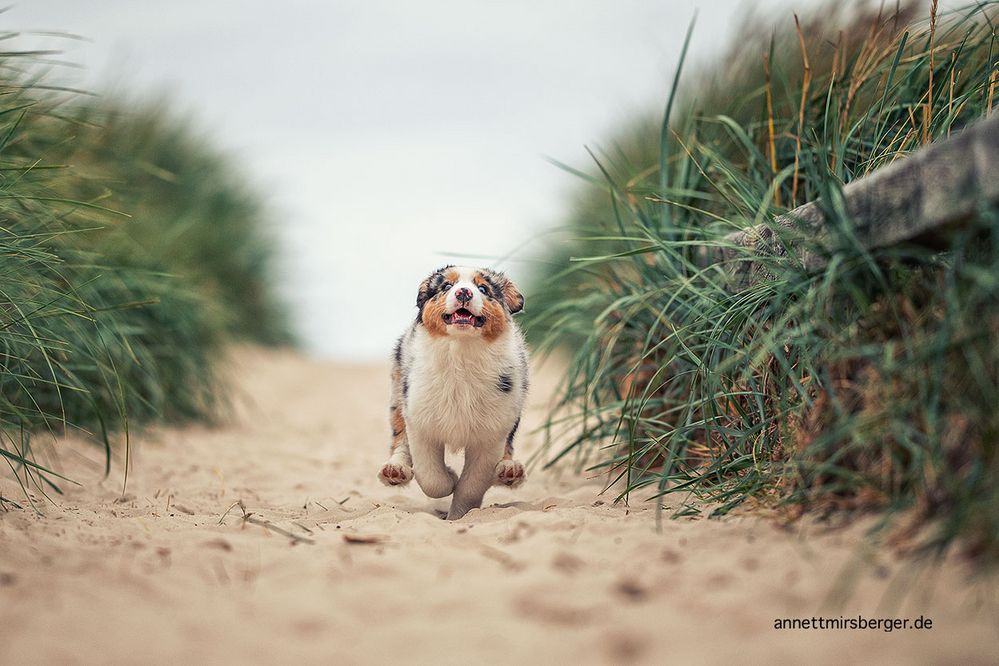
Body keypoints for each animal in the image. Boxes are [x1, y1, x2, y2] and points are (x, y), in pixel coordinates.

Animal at [376, 264, 532, 520]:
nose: (464, 292)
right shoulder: (421, 423)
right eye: (447, 286)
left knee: (508, 448)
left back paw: (508, 471)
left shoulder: (491, 435)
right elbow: (431, 477)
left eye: (483, 288)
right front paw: (450, 477)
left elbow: (471, 486)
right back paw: (395, 470)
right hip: (397, 396)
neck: (461, 353)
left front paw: (458, 516)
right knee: (399, 439)